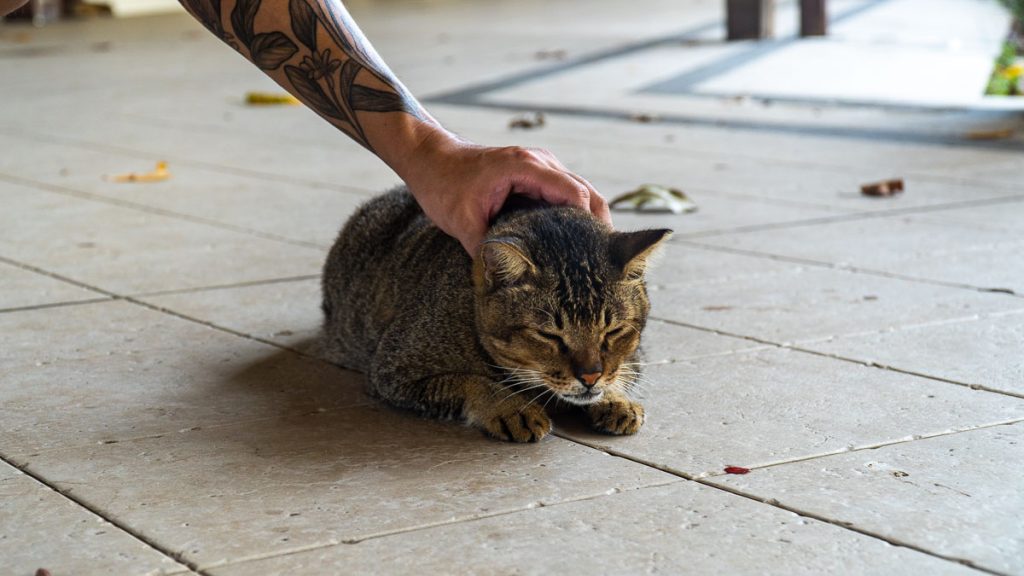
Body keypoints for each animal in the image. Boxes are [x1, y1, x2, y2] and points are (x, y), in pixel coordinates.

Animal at [321, 186, 671, 440]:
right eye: (549, 335)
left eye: (613, 331)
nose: (589, 377)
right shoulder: (393, 368)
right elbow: (471, 381)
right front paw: (509, 406)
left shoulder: (635, 356)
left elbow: (620, 372)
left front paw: (614, 398)